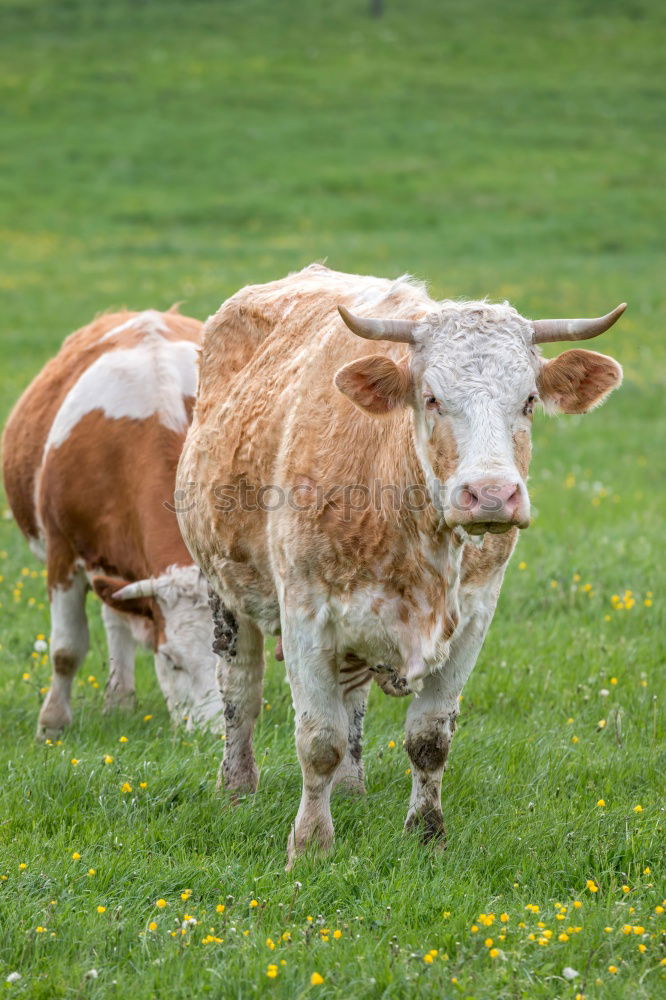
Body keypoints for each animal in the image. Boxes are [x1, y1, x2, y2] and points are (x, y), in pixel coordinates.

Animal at [176, 262, 624, 864]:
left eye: (530, 400)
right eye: (431, 397)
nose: (491, 496)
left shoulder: (474, 620)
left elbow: (428, 740)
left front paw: (427, 833)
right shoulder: (305, 615)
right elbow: (318, 741)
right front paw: (310, 844)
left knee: (351, 700)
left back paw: (351, 789)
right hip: (224, 588)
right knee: (240, 694)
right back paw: (237, 788)